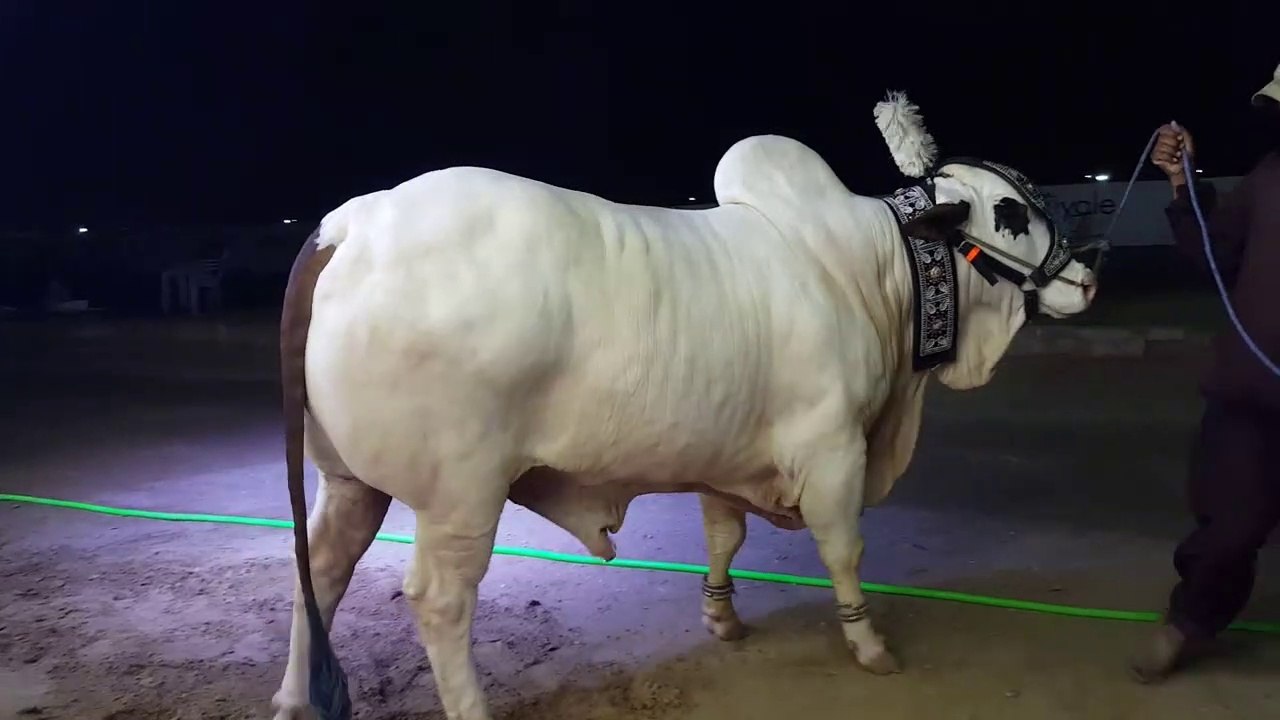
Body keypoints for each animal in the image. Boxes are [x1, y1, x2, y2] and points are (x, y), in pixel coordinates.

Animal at [271, 94, 1098, 720]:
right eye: (1010, 211)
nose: (1086, 278)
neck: (870, 270)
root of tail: (350, 225)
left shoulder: (726, 455)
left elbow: (724, 536)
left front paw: (722, 615)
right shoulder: (833, 448)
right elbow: (844, 550)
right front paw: (868, 645)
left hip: (347, 479)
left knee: (321, 570)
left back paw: (294, 699)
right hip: (460, 494)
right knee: (440, 602)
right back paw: (467, 706)